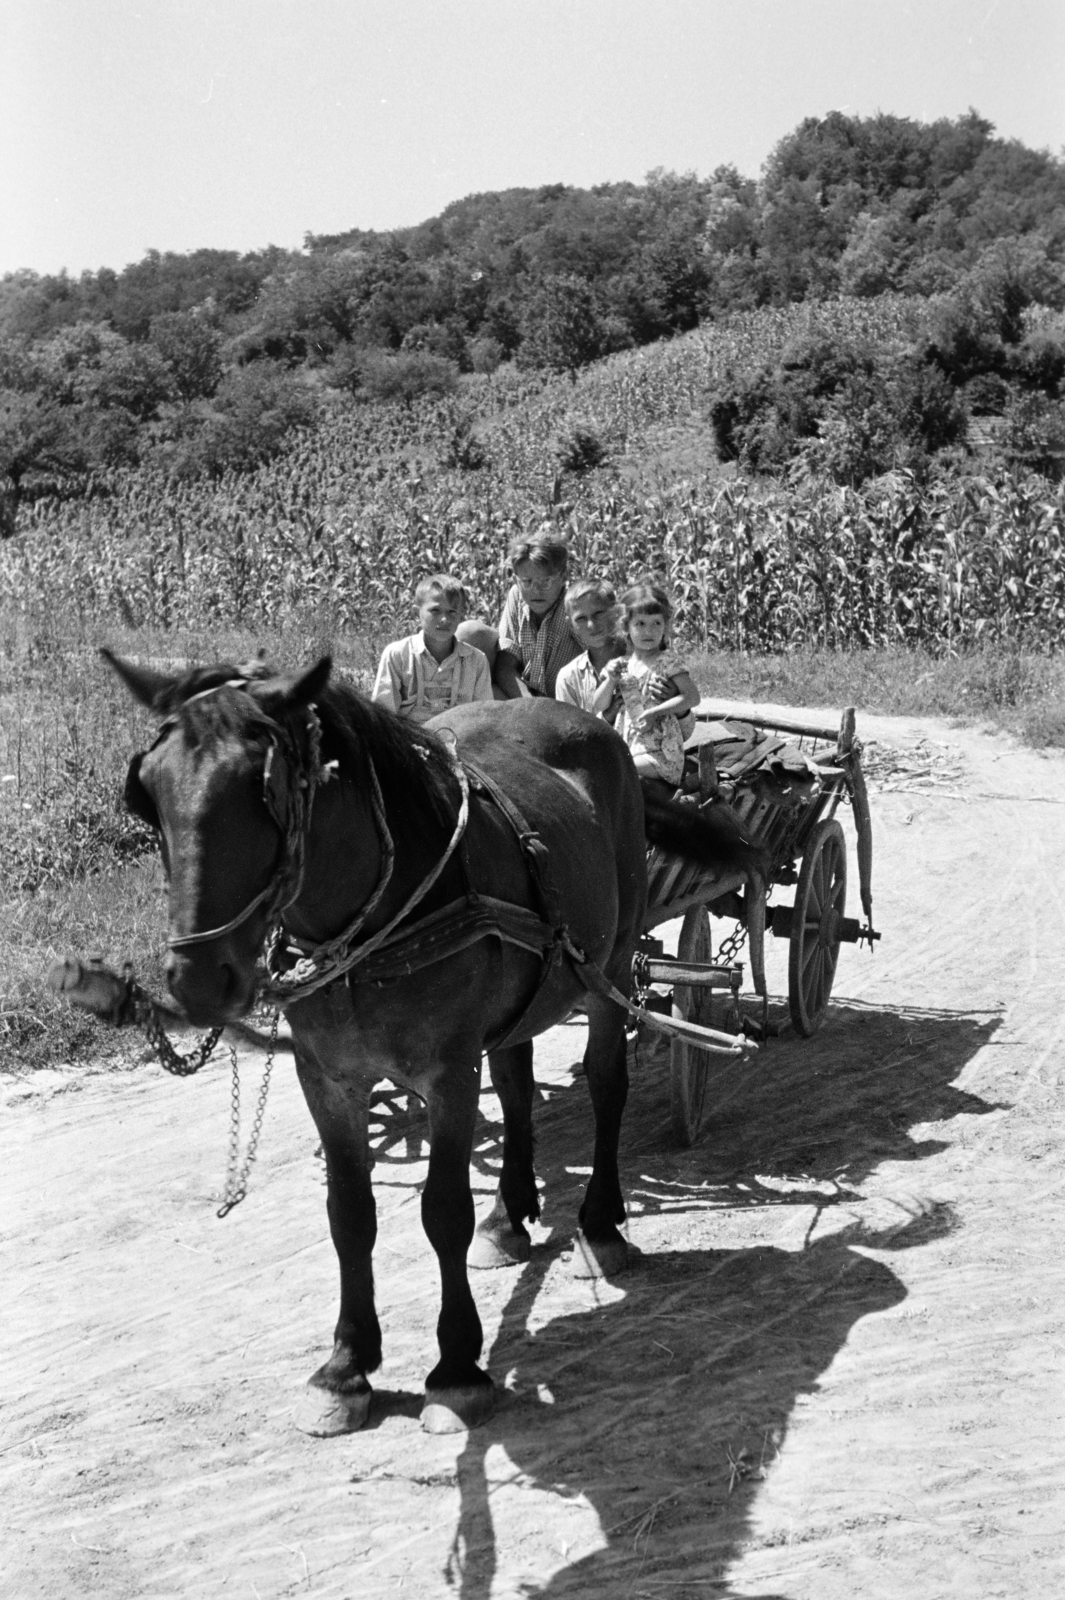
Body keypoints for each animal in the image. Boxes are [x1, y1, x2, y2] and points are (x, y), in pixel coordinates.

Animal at [103, 649, 757, 1440]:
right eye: (148, 791)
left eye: (264, 790)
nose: (198, 978)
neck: (368, 919)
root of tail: (573, 716)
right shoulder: (327, 1078)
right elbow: (349, 1215)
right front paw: (345, 1367)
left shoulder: (446, 1073)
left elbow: (443, 1212)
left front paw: (456, 1367)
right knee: (515, 1078)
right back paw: (510, 1216)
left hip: (612, 957)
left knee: (606, 1082)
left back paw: (600, 1229)